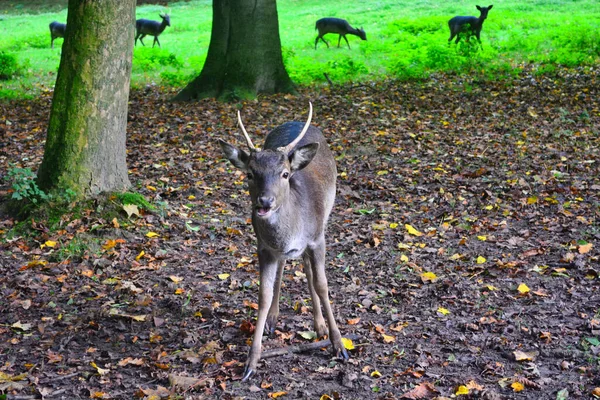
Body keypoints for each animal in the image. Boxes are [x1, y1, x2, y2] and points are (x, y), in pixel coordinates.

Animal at [219, 103, 352, 382]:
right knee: (285, 267)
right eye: (250, 173)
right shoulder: (263, 247)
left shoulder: (317, 239)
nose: (265, 201)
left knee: (308, 270)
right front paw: (251, 362)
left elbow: (322, 284)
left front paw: (339, 345)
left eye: (285, 173)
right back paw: (273, 319)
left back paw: (319, 326)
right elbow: (264, 294)